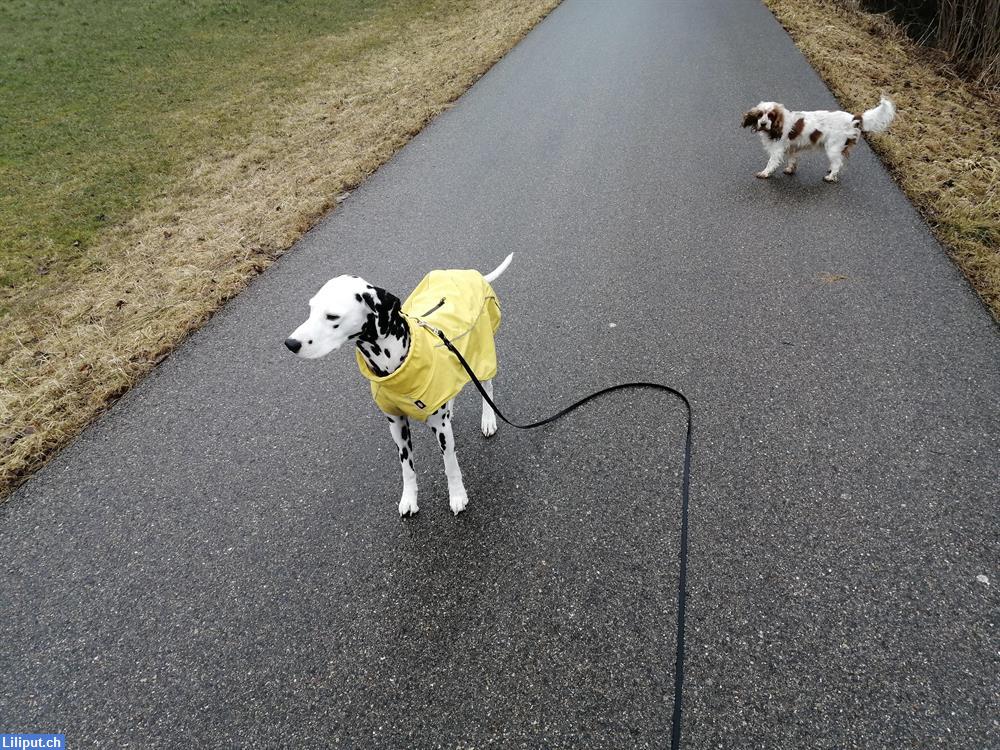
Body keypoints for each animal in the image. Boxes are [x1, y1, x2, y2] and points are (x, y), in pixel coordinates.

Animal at [284, 253, 512, 516]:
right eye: (311, 309)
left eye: (332, 316)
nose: (290, 343)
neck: (393, 365)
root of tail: (471, 274)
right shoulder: (396, 424)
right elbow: (407, 469)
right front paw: (409, 498)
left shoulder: (441, 431)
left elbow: (450, 465)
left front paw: (457, 495)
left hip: (481, 357)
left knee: (488, 389)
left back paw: (488, 420)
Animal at [740, 96, 896, 183]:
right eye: (760, 115)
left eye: (771, 116)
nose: (763, 123)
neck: (779, 124)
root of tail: (853, 118)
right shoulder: (792, 148)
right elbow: (792, 160)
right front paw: (790, 169)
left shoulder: (777, 150)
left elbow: (770, 163)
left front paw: (764, 173)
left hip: (832, 148)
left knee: (838, 163)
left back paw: (830, 177)